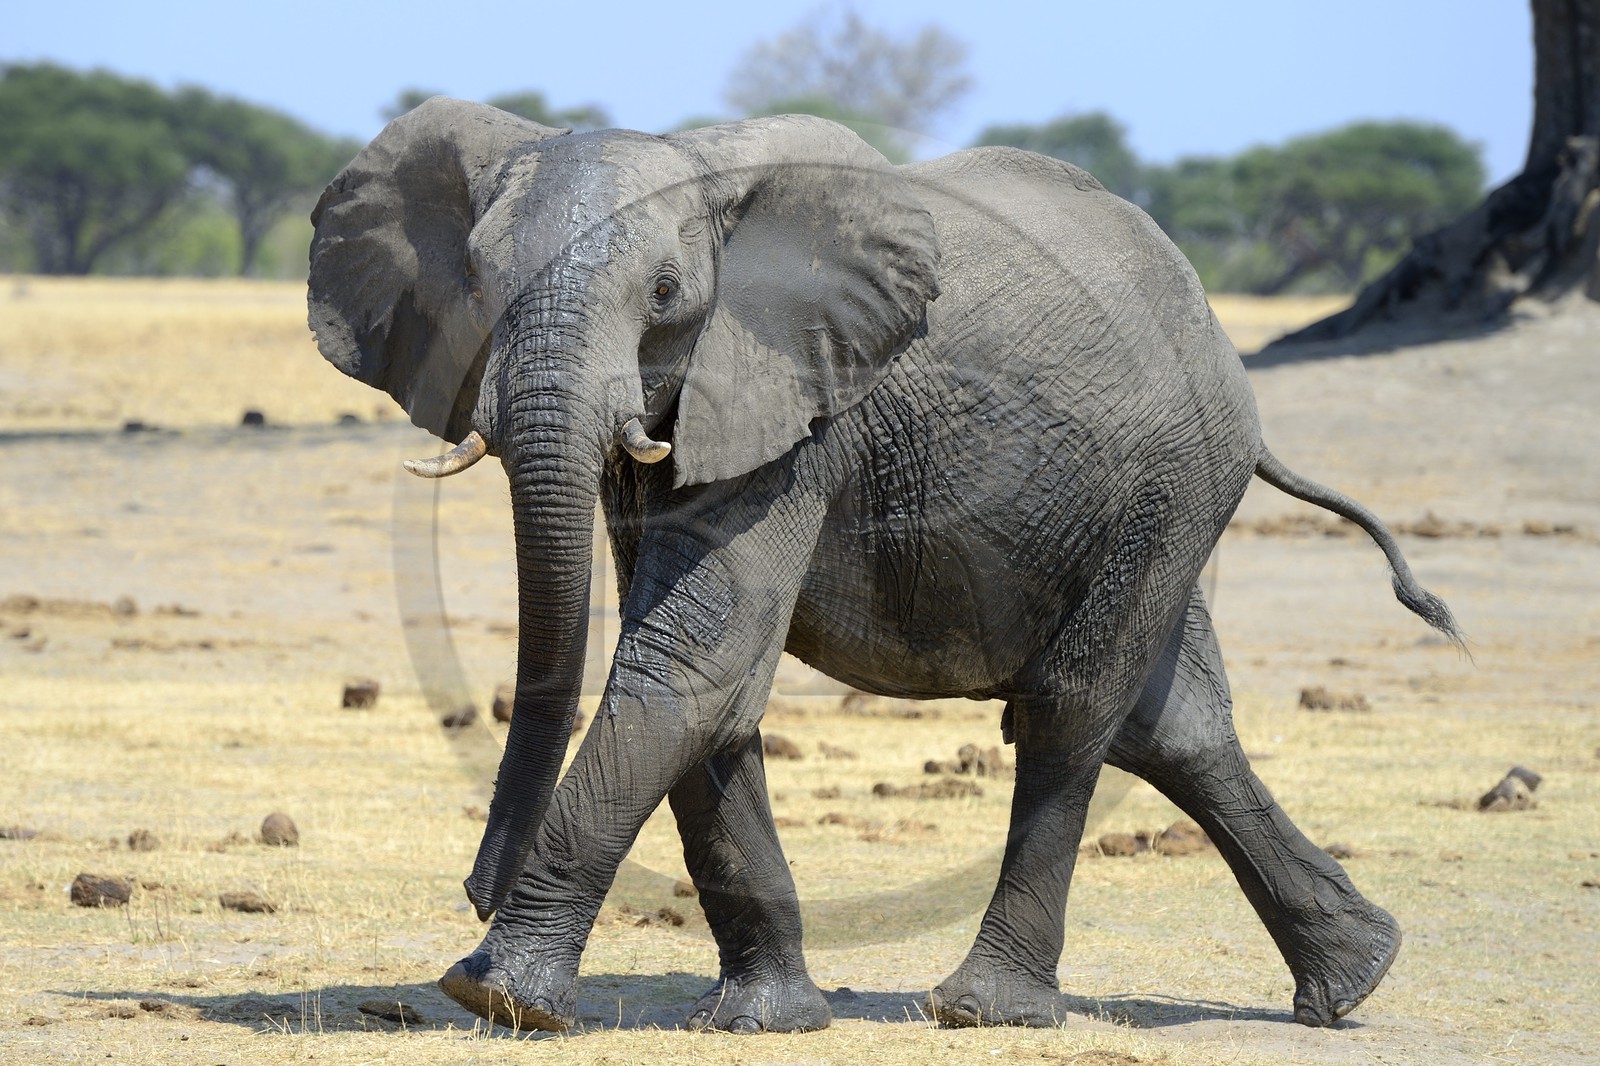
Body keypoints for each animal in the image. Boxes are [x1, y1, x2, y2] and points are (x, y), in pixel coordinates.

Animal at [306, 97, 1460, 1035]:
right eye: (478, 283)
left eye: (666, 292)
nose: (476, 892)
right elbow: (711, 682)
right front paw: (766, 1021)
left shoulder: (797, 401)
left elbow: (692, 660)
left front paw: (499, 996)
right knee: (1172, 725)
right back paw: (1355, 979)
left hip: (1171, 480)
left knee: (1074, 707)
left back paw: (984, 1009)